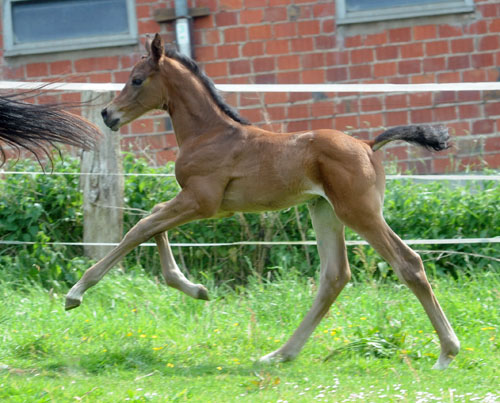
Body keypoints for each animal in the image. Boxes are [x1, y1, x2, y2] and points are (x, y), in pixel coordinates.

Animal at [66, 34, 460, 370]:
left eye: (136, 80)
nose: (108, 115)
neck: (209, 133)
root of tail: (367, 145)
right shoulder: (201, 203)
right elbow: (152, 222)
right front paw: (195, 289)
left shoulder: (201, 201)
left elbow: (141, 227)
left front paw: (76, 293)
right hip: (324, 211)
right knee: (335, 275)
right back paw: (281, 354)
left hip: (359, 213)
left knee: (408, 263)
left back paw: (447, 352)